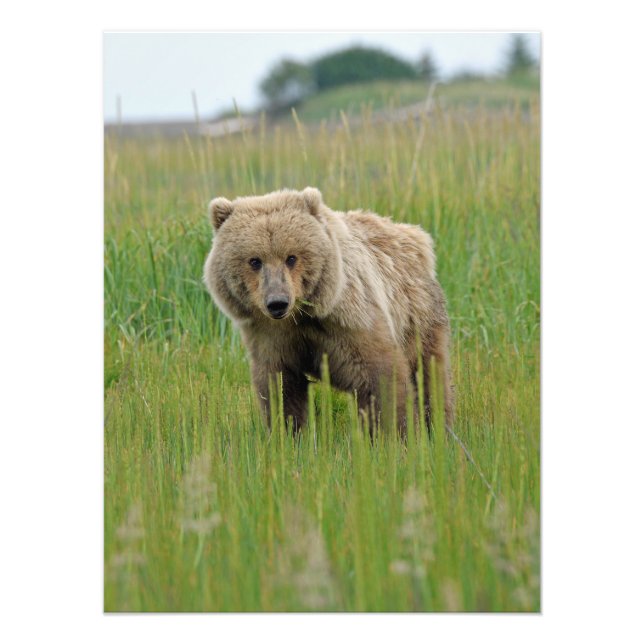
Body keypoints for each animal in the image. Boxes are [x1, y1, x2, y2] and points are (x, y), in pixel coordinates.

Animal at [203, 187, 453, 435]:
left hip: (417, 315)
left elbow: (382, 378)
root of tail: (415, 234)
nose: (277, 302)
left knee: (430, 373)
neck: (302, 314)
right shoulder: (272, 337)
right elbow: (282, 390)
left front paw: (395, 433)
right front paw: (288, 434)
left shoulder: (352, 321)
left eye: (291, 257)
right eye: (255, 261)